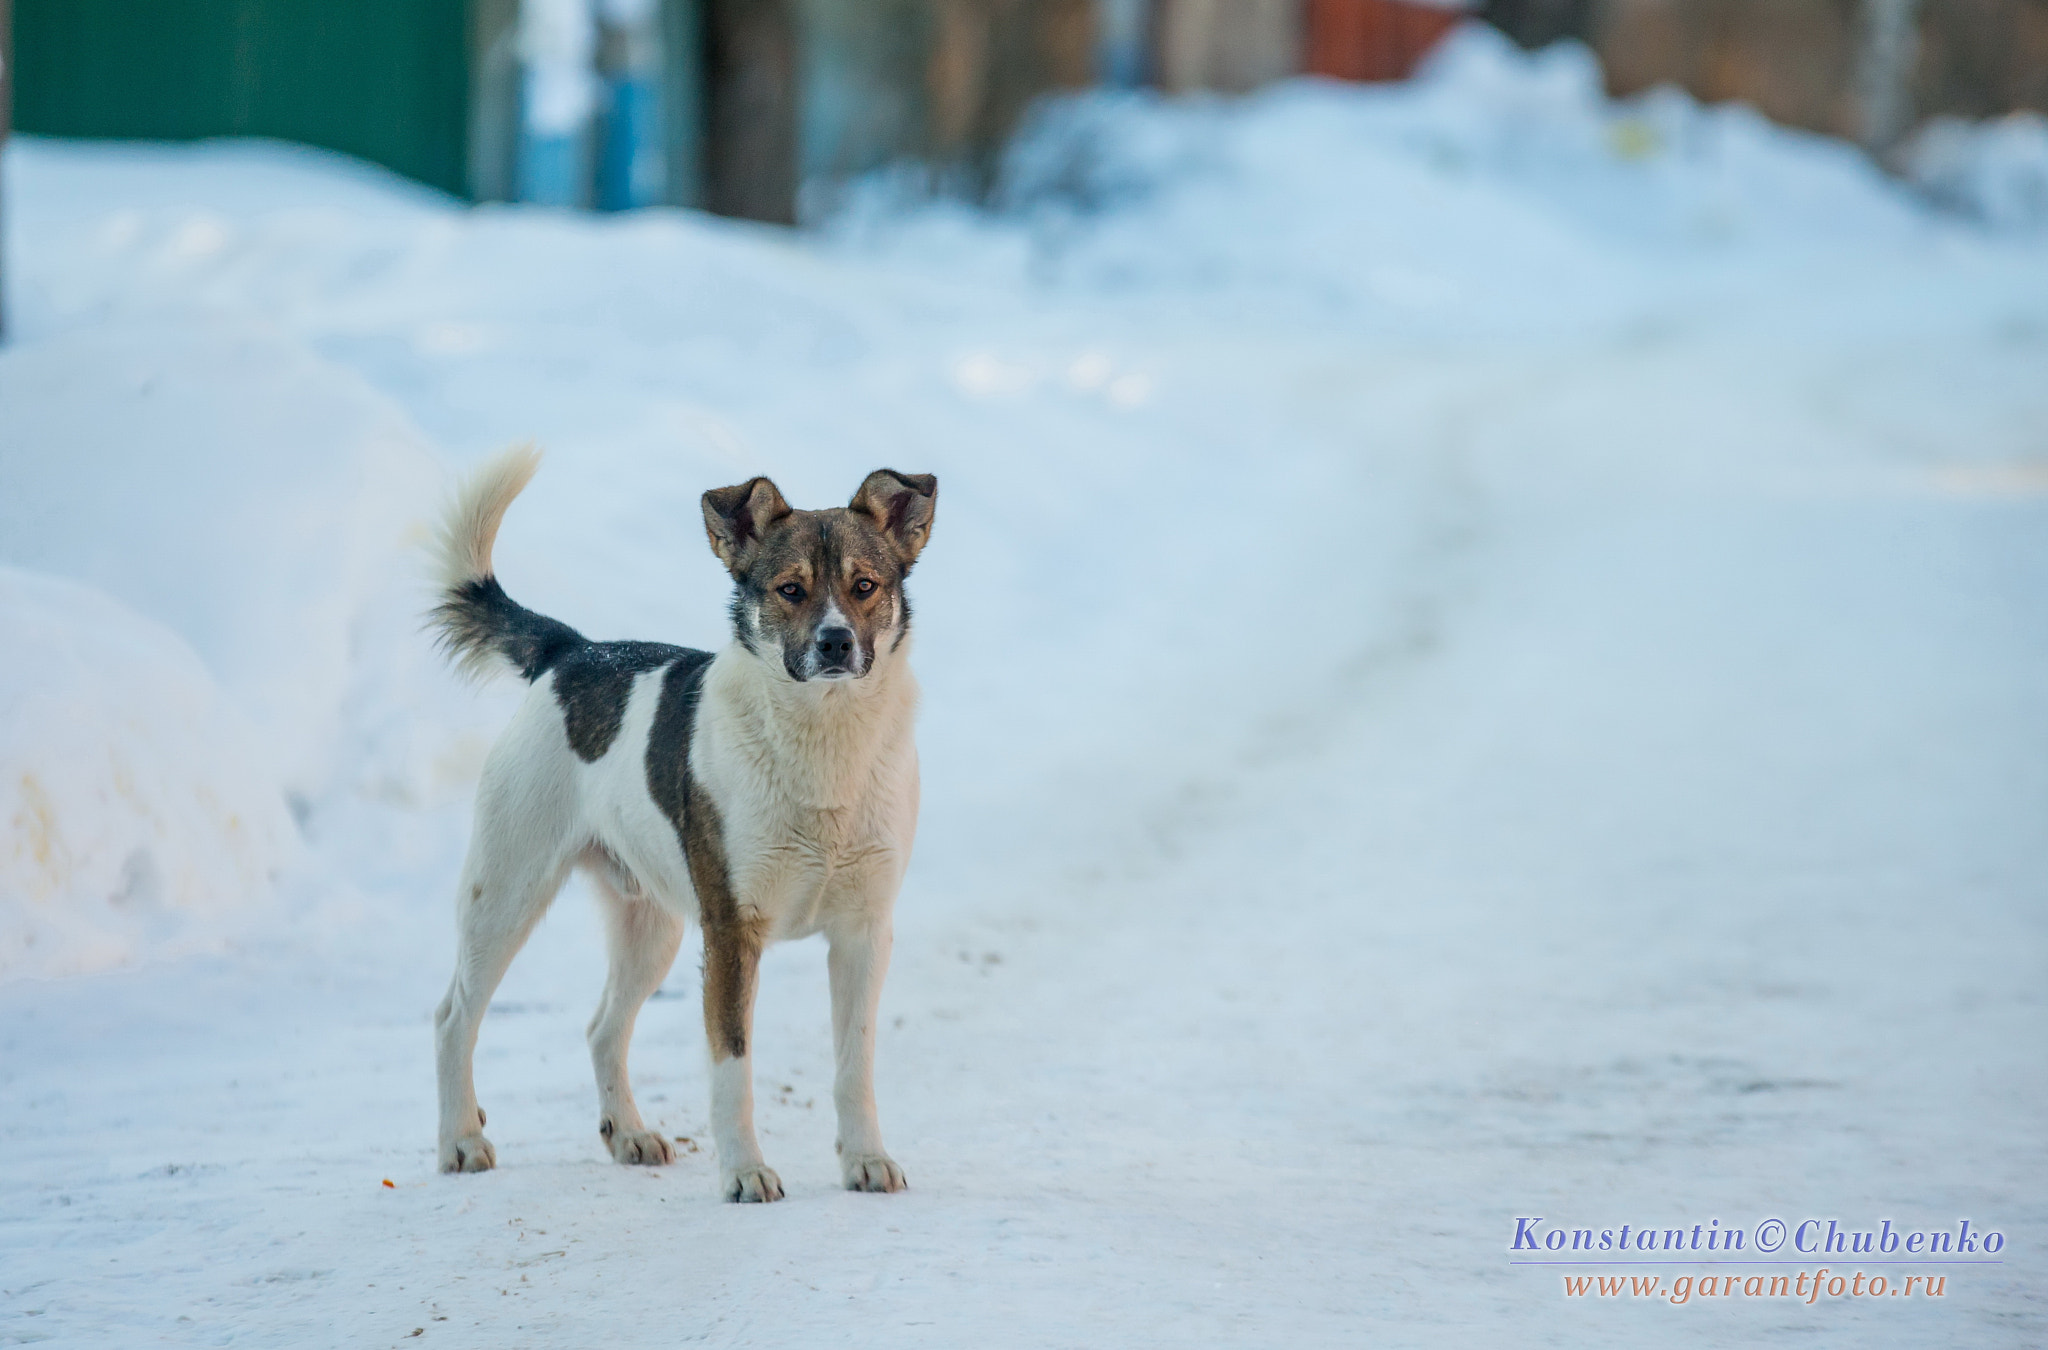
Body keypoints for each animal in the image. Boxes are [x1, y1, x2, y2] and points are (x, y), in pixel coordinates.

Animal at [423, 448, 937, 1196]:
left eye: (865, 586)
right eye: (790, 589)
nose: (836, 643)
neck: (823, 742)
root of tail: (571, 653)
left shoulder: (864, 932)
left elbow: (854, 1066)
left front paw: (866, 1159)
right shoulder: (731, 934)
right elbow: (733, 1070)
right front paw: (745, 1172)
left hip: (651, 925)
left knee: (602, 1029)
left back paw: (628, 1134)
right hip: (506, 894)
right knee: (454, 1017)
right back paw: (461, 1140)